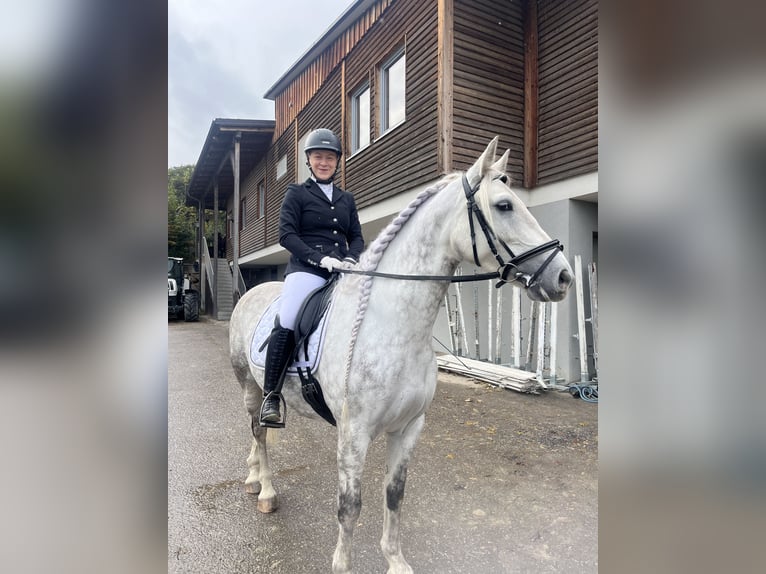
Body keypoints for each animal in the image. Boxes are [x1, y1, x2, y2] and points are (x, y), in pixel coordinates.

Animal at [228, 137, 574, 573]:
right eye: (504, 206)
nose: (563, 276)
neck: (395, 326)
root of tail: (253, 292)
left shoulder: (409, 426)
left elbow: (395, 493)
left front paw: (395, 560)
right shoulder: (354, 432)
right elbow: (349, 506)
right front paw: (342, 565)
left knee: (257, 434)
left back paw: (253, 477)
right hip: (249, 385)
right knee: (259, 430)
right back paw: (266, 490)